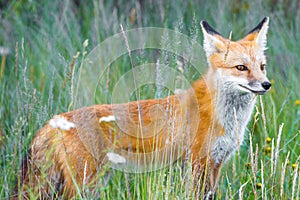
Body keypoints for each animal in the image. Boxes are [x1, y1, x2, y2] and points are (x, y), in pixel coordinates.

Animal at [15, 17, 270, 198]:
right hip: (84, 184)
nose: (266, 85)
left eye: (262, 66)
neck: (227, 118)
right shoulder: (199, 163)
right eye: (241, 68)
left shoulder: (214, 164)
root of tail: (55, 120)